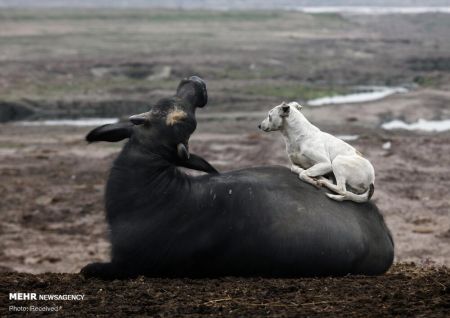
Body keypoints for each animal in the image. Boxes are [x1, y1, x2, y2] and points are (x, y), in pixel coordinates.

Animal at [81, 76, 394, 278]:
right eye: (172, 112)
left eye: (183, 118)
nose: (195, 84)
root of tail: (386, 234)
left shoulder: (130, 262)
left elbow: (89, 270)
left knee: (341, 187)